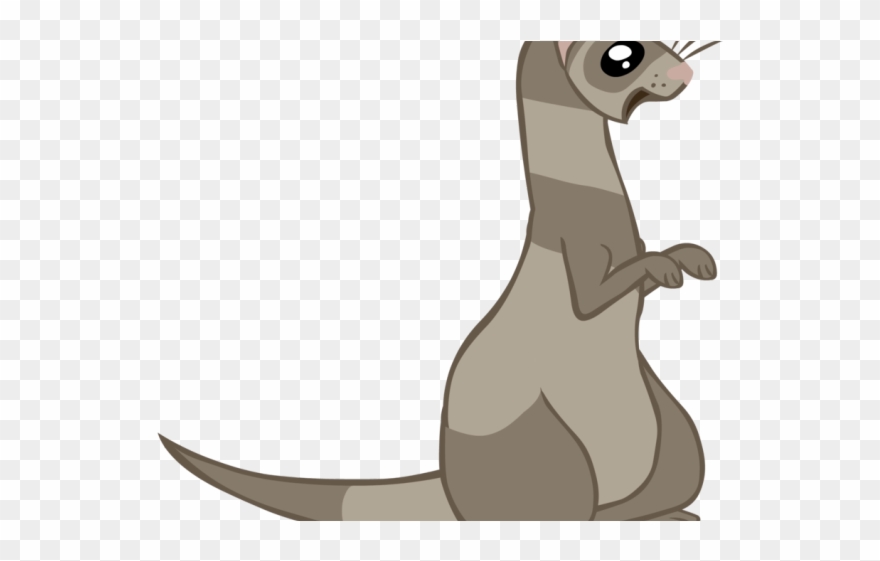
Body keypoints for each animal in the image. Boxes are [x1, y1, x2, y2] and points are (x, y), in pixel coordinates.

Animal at [160, 40, 721, 521]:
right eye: (621, 57)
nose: (684, 73)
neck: (588, 204)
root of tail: (450, 488)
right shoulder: (574, 251)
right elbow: (594, 297)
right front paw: (660, 263)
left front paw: (688, 256)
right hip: (536, 440)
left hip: (672, 435)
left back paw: (662, 512)